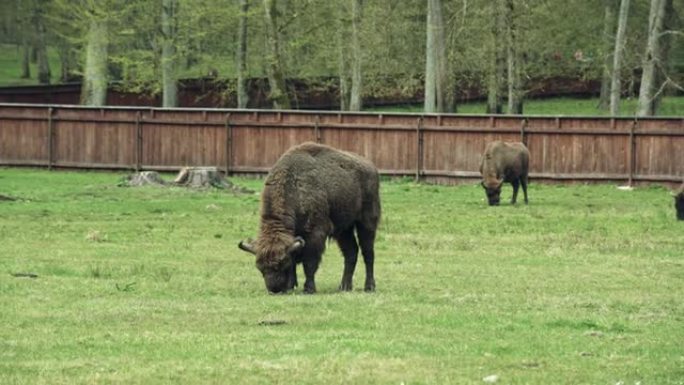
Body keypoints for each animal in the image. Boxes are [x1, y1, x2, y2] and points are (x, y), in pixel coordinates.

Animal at [239, 142, 380, 294]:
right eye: (260, 268)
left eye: (282, 264)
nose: (274, 289)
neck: (293, 186)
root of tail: (371, 167)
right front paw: (291, 285)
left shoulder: (315, 233)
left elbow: (309, 262)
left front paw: (309, 288)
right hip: (343, 230)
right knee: (351, 252)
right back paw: (344, 286)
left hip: (367, 222)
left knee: (368, 253)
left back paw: (369, 286)